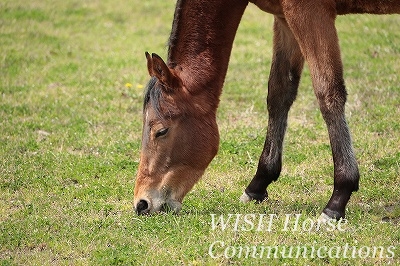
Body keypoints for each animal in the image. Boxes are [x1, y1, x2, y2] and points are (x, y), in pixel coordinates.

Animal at [134, 0, 400, 220]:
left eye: (161, 131)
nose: (141, 203)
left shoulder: (311, 13)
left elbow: (328, 93)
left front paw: (338, 199)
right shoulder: (284, 18)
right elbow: (279, 93)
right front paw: (258, 185)